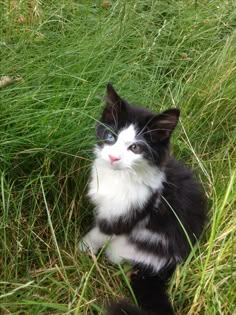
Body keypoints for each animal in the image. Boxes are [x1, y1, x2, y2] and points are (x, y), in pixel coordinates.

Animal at [79, 84, 206, 315]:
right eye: (110, 137)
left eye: (135, 148)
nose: (113, 158)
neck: (121, 177)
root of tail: (166, 266)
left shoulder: (127, 213)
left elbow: (100, 232)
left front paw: (82, 247)